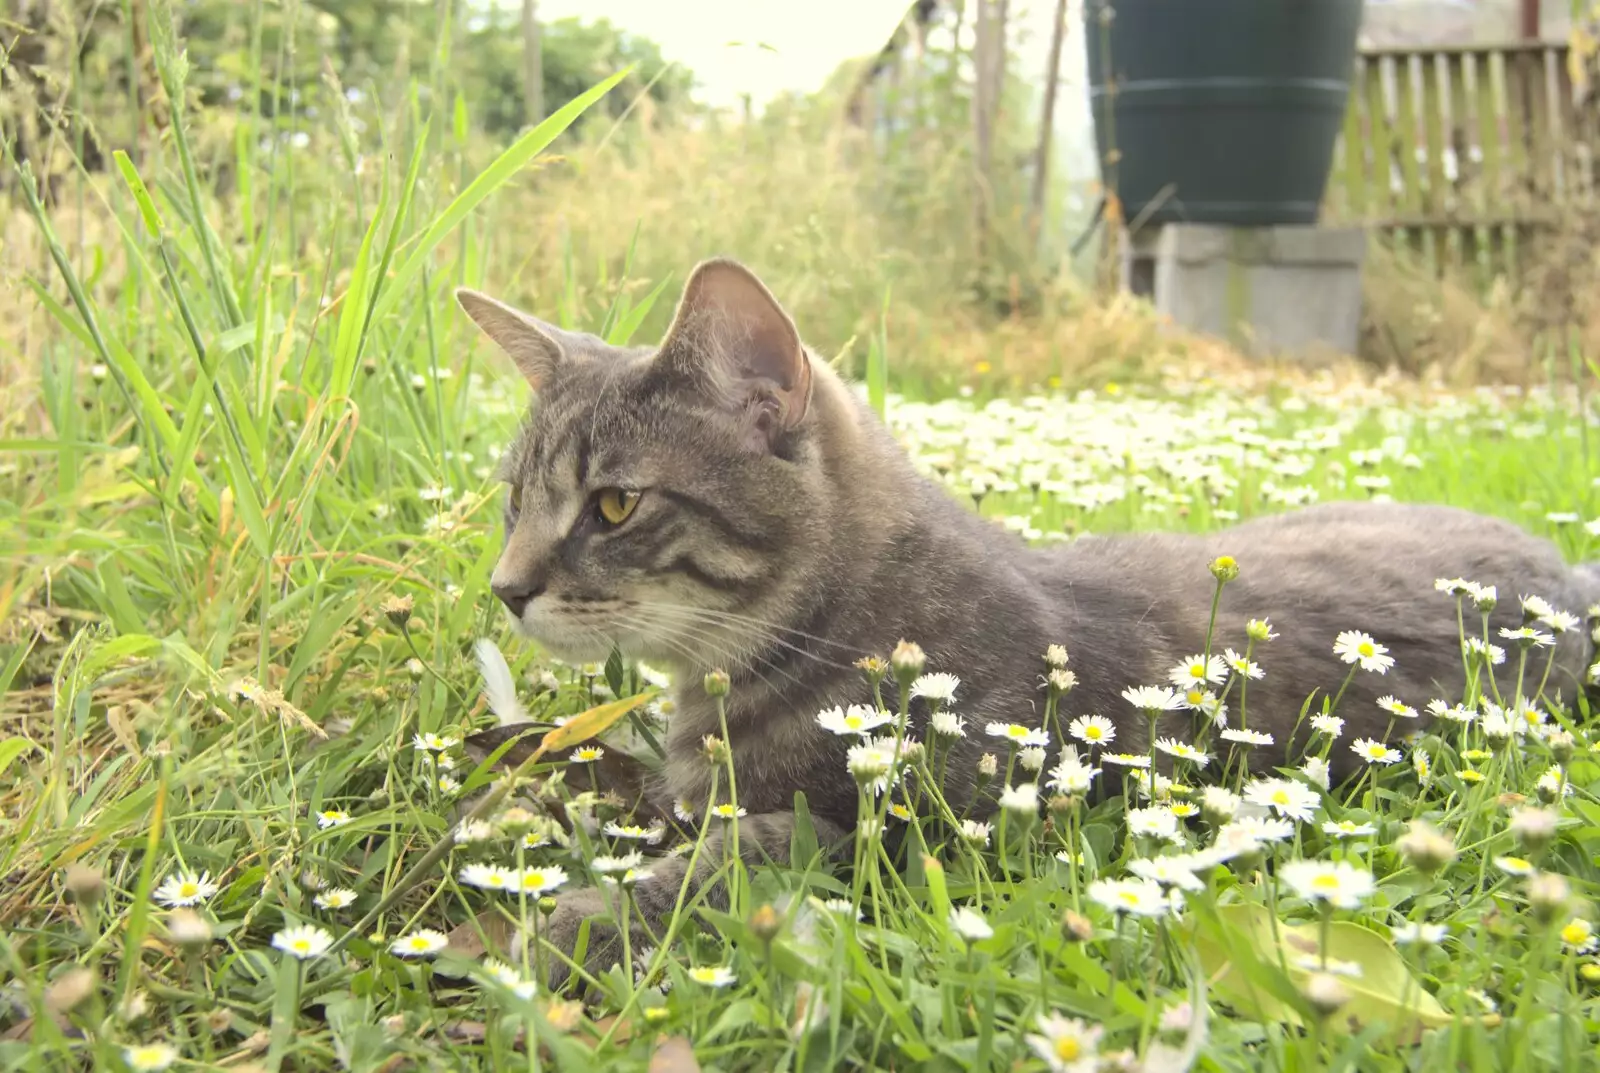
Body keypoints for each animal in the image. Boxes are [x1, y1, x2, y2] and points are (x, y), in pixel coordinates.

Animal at [454, 257, 1600, 985]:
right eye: (513, 500)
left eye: (614, 504)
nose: (505, 587)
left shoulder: (937, 835)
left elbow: (762, 847)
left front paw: (582, 919)